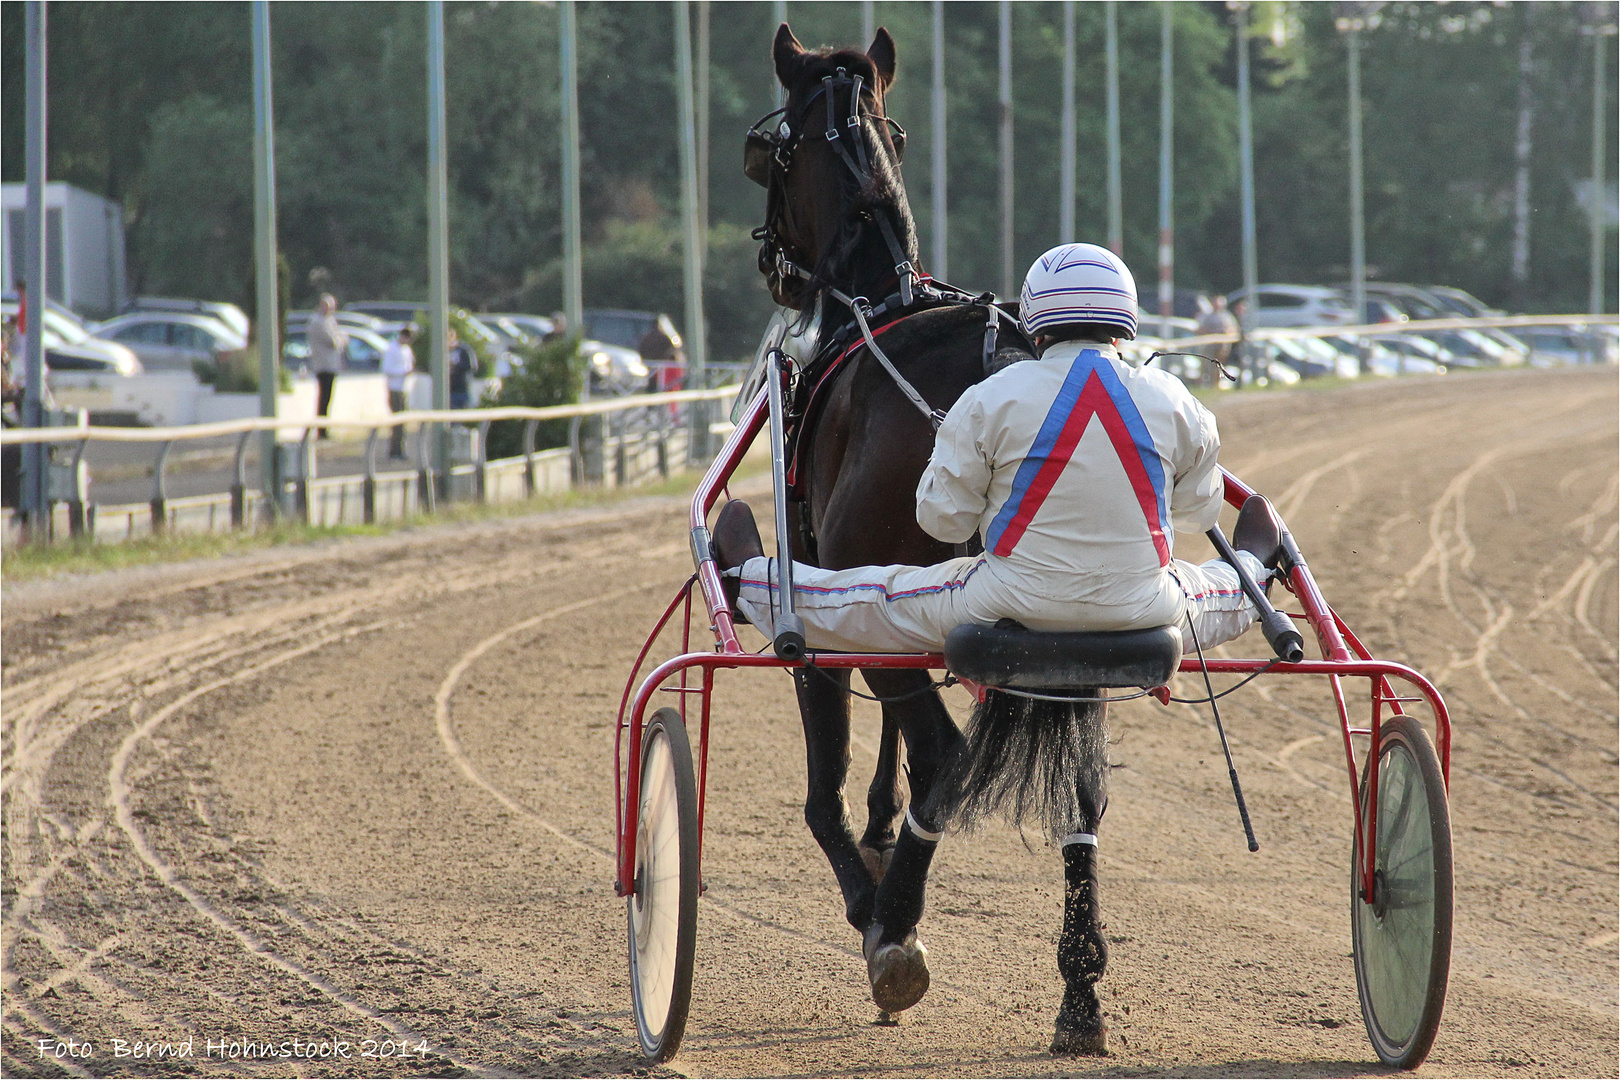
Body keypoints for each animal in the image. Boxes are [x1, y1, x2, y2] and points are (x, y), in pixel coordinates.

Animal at [745, 25, 1114, 1055]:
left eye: (768, 151)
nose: (772, 263)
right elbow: (892, 766)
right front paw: (882, 840)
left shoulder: (822, 610)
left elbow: (826, 789)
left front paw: (874, 904)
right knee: (1082, 791)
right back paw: (1079, 991)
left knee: (947, 758)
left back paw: (895, 929)